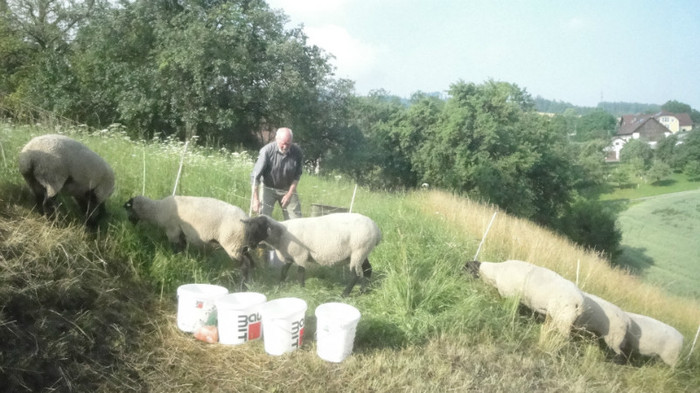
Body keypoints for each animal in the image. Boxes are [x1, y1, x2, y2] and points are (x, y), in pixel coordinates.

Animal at [123, 195, 254, 290]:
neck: (156, 210)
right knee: (251, 263)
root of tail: (248, 220)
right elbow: (183, 248)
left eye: (129, 209)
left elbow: (176, 249)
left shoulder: (173, 231)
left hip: (233, 244)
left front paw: (176, 259)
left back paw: (242, 285)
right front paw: (183, 260)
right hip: (241, 245)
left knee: (245, 265)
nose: (129, 221)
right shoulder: (181, 234)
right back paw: (248, 282)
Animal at [242, 213, 382, 296]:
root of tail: (377, 229)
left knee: (356, 274)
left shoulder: (300, 255)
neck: (281, 234)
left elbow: (300, 273)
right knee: (368, 269)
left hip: (359, 250)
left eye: (259, 228)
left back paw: (345, 294)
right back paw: (363, 290)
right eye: (248, 229)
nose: (250, 244)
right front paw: (280, 287)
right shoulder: (289, 257)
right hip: (363, 252)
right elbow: (283, 272)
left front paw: (301, 290)